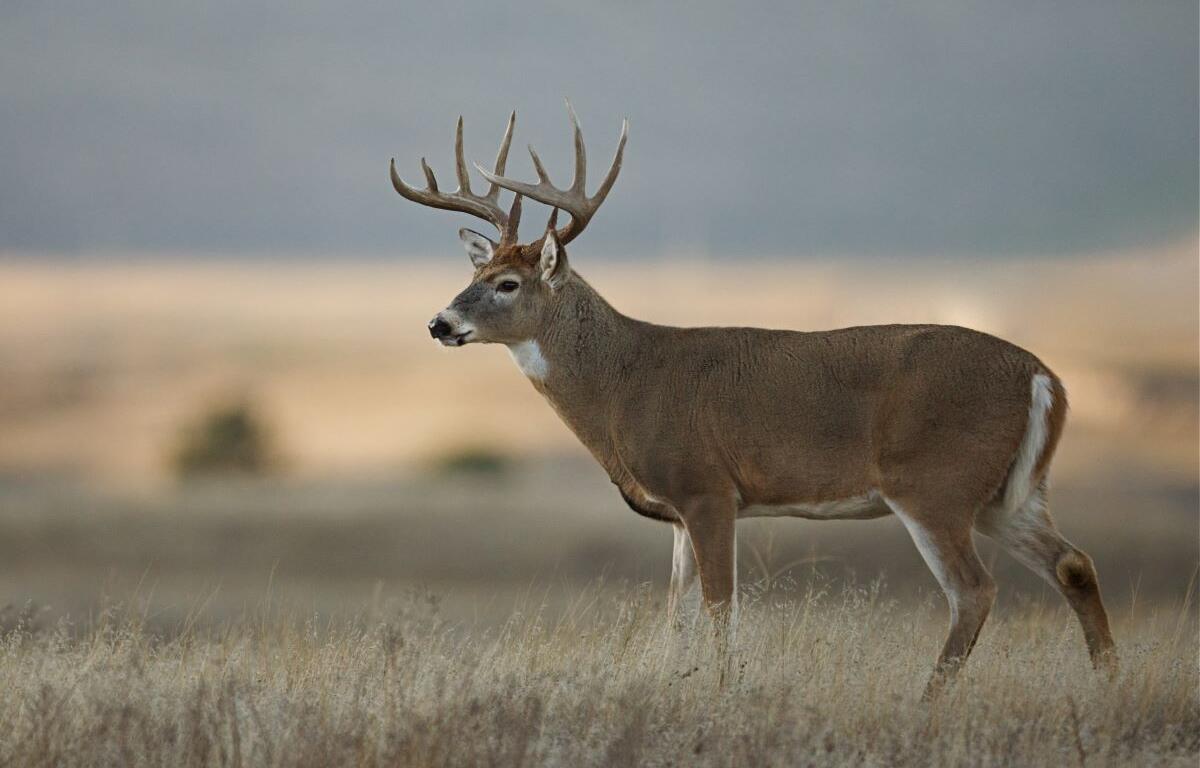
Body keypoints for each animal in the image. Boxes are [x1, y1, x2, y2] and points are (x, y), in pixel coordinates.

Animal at [389, 103, 1117, 695]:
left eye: (507, 284)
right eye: (475, 272)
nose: (438, 323)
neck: (625, 382)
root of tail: (1044, 376)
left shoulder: (708, 487)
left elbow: (719, 608)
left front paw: (720, 692)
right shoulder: (678, 513)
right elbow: (677, 614)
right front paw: (676, 685)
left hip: (934, 483)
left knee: (974, 590)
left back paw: (928, 702)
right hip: (1006, 493)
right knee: (1074, 563)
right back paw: (1107, 683)